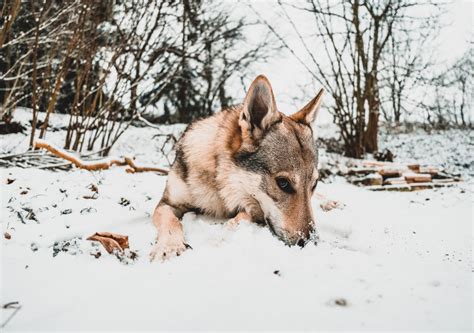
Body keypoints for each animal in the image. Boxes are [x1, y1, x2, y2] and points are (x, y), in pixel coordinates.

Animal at [152, 74, 326, 260]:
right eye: (283, 183)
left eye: (314, 185)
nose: (311, 242)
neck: (219, 184)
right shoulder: (167, 203)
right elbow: (170, 221)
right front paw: (169, 247)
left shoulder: (255, 209)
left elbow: (240, 217)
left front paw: (222, 236)